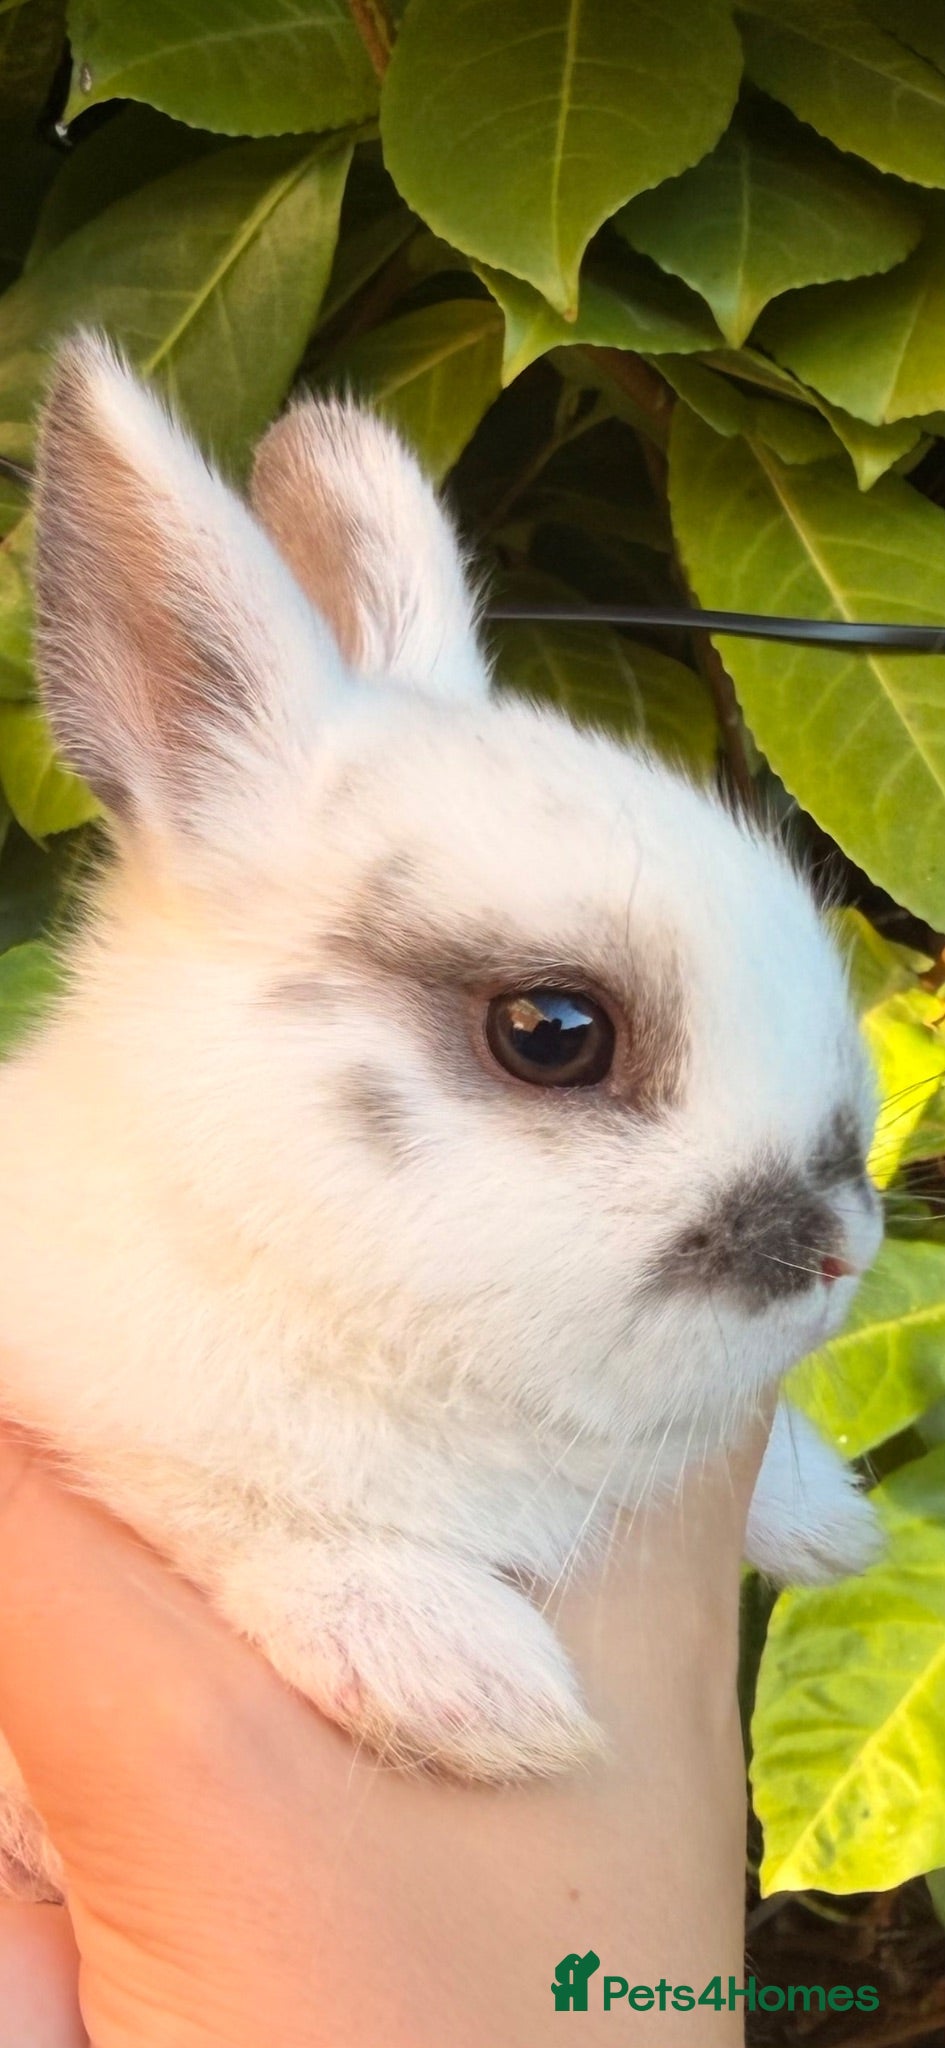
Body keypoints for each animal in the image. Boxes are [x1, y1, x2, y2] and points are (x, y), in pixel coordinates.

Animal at [0, 332, 884, 1901]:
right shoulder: (115, 1431)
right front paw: (468, 1685)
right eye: (552, 1033)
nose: (843, 1246)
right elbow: (240, 1515)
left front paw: (829, 1518)